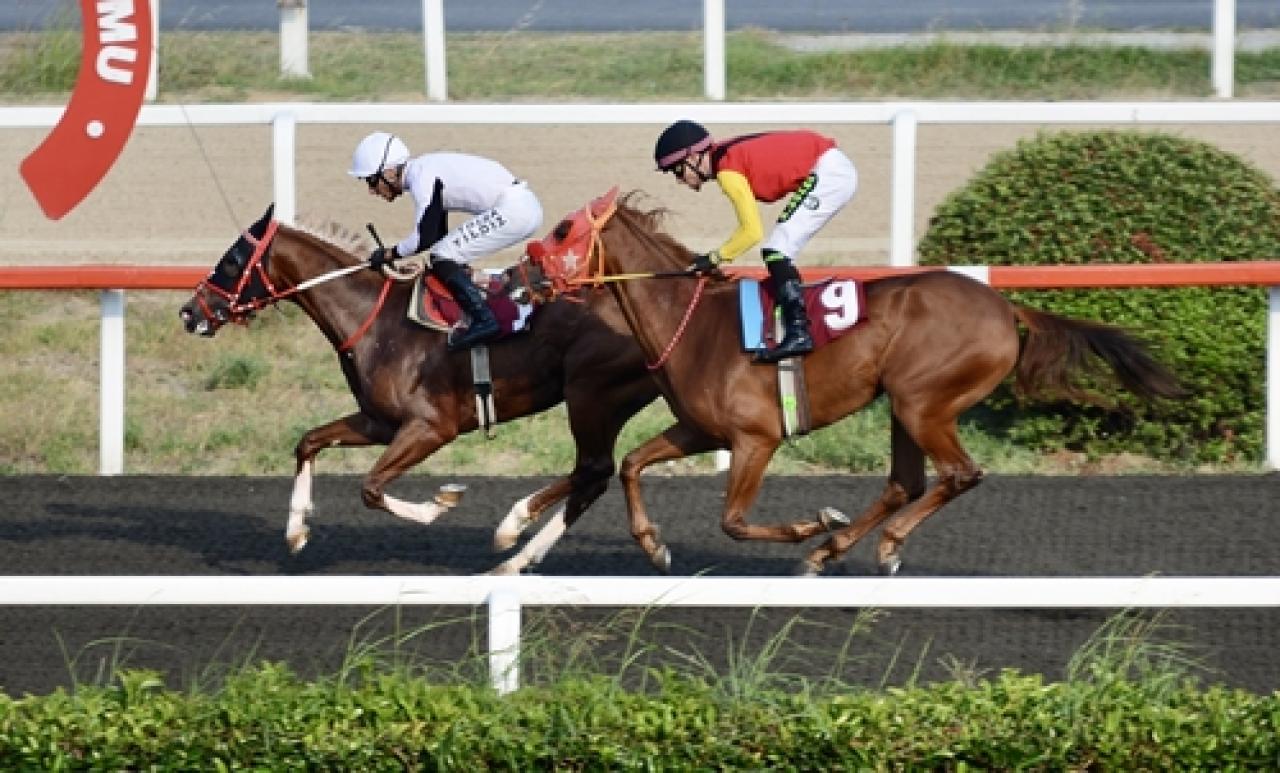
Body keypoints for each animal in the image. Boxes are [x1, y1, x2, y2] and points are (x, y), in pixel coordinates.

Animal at [177, 204, 660, 573]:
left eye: (232, 260)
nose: (188, 313)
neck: (376, 322)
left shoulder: (431, 427)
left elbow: (370, 488)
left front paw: (441, 502)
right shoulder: (379, 422)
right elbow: (309, 441)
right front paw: (295, 531)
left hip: (591, 395)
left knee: (593, 469)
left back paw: (513, 528)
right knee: (594, 476)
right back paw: (521, 557)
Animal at [504, 193, 1182, 575]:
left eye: (562, 230)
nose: (517, 275)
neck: (689, 322)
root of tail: (1003, 306)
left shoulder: (755, 439)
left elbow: (733, 520)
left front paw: (811, 524)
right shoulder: (701, 429)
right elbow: (631, 465)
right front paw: (653, 545)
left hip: (923, 402)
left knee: (958, 474)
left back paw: (873, 544)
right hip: (906, 407)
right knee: (907, 482)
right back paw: (835, 550)